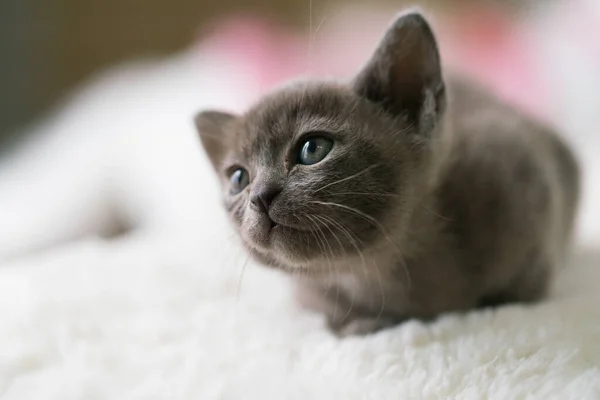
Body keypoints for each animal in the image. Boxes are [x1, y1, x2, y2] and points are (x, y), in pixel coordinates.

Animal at [195, 10, 580, 336]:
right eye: (238, 179)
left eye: (312, 148)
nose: (260, 196)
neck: (374, 273)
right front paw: (358, 324)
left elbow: (522, 290)